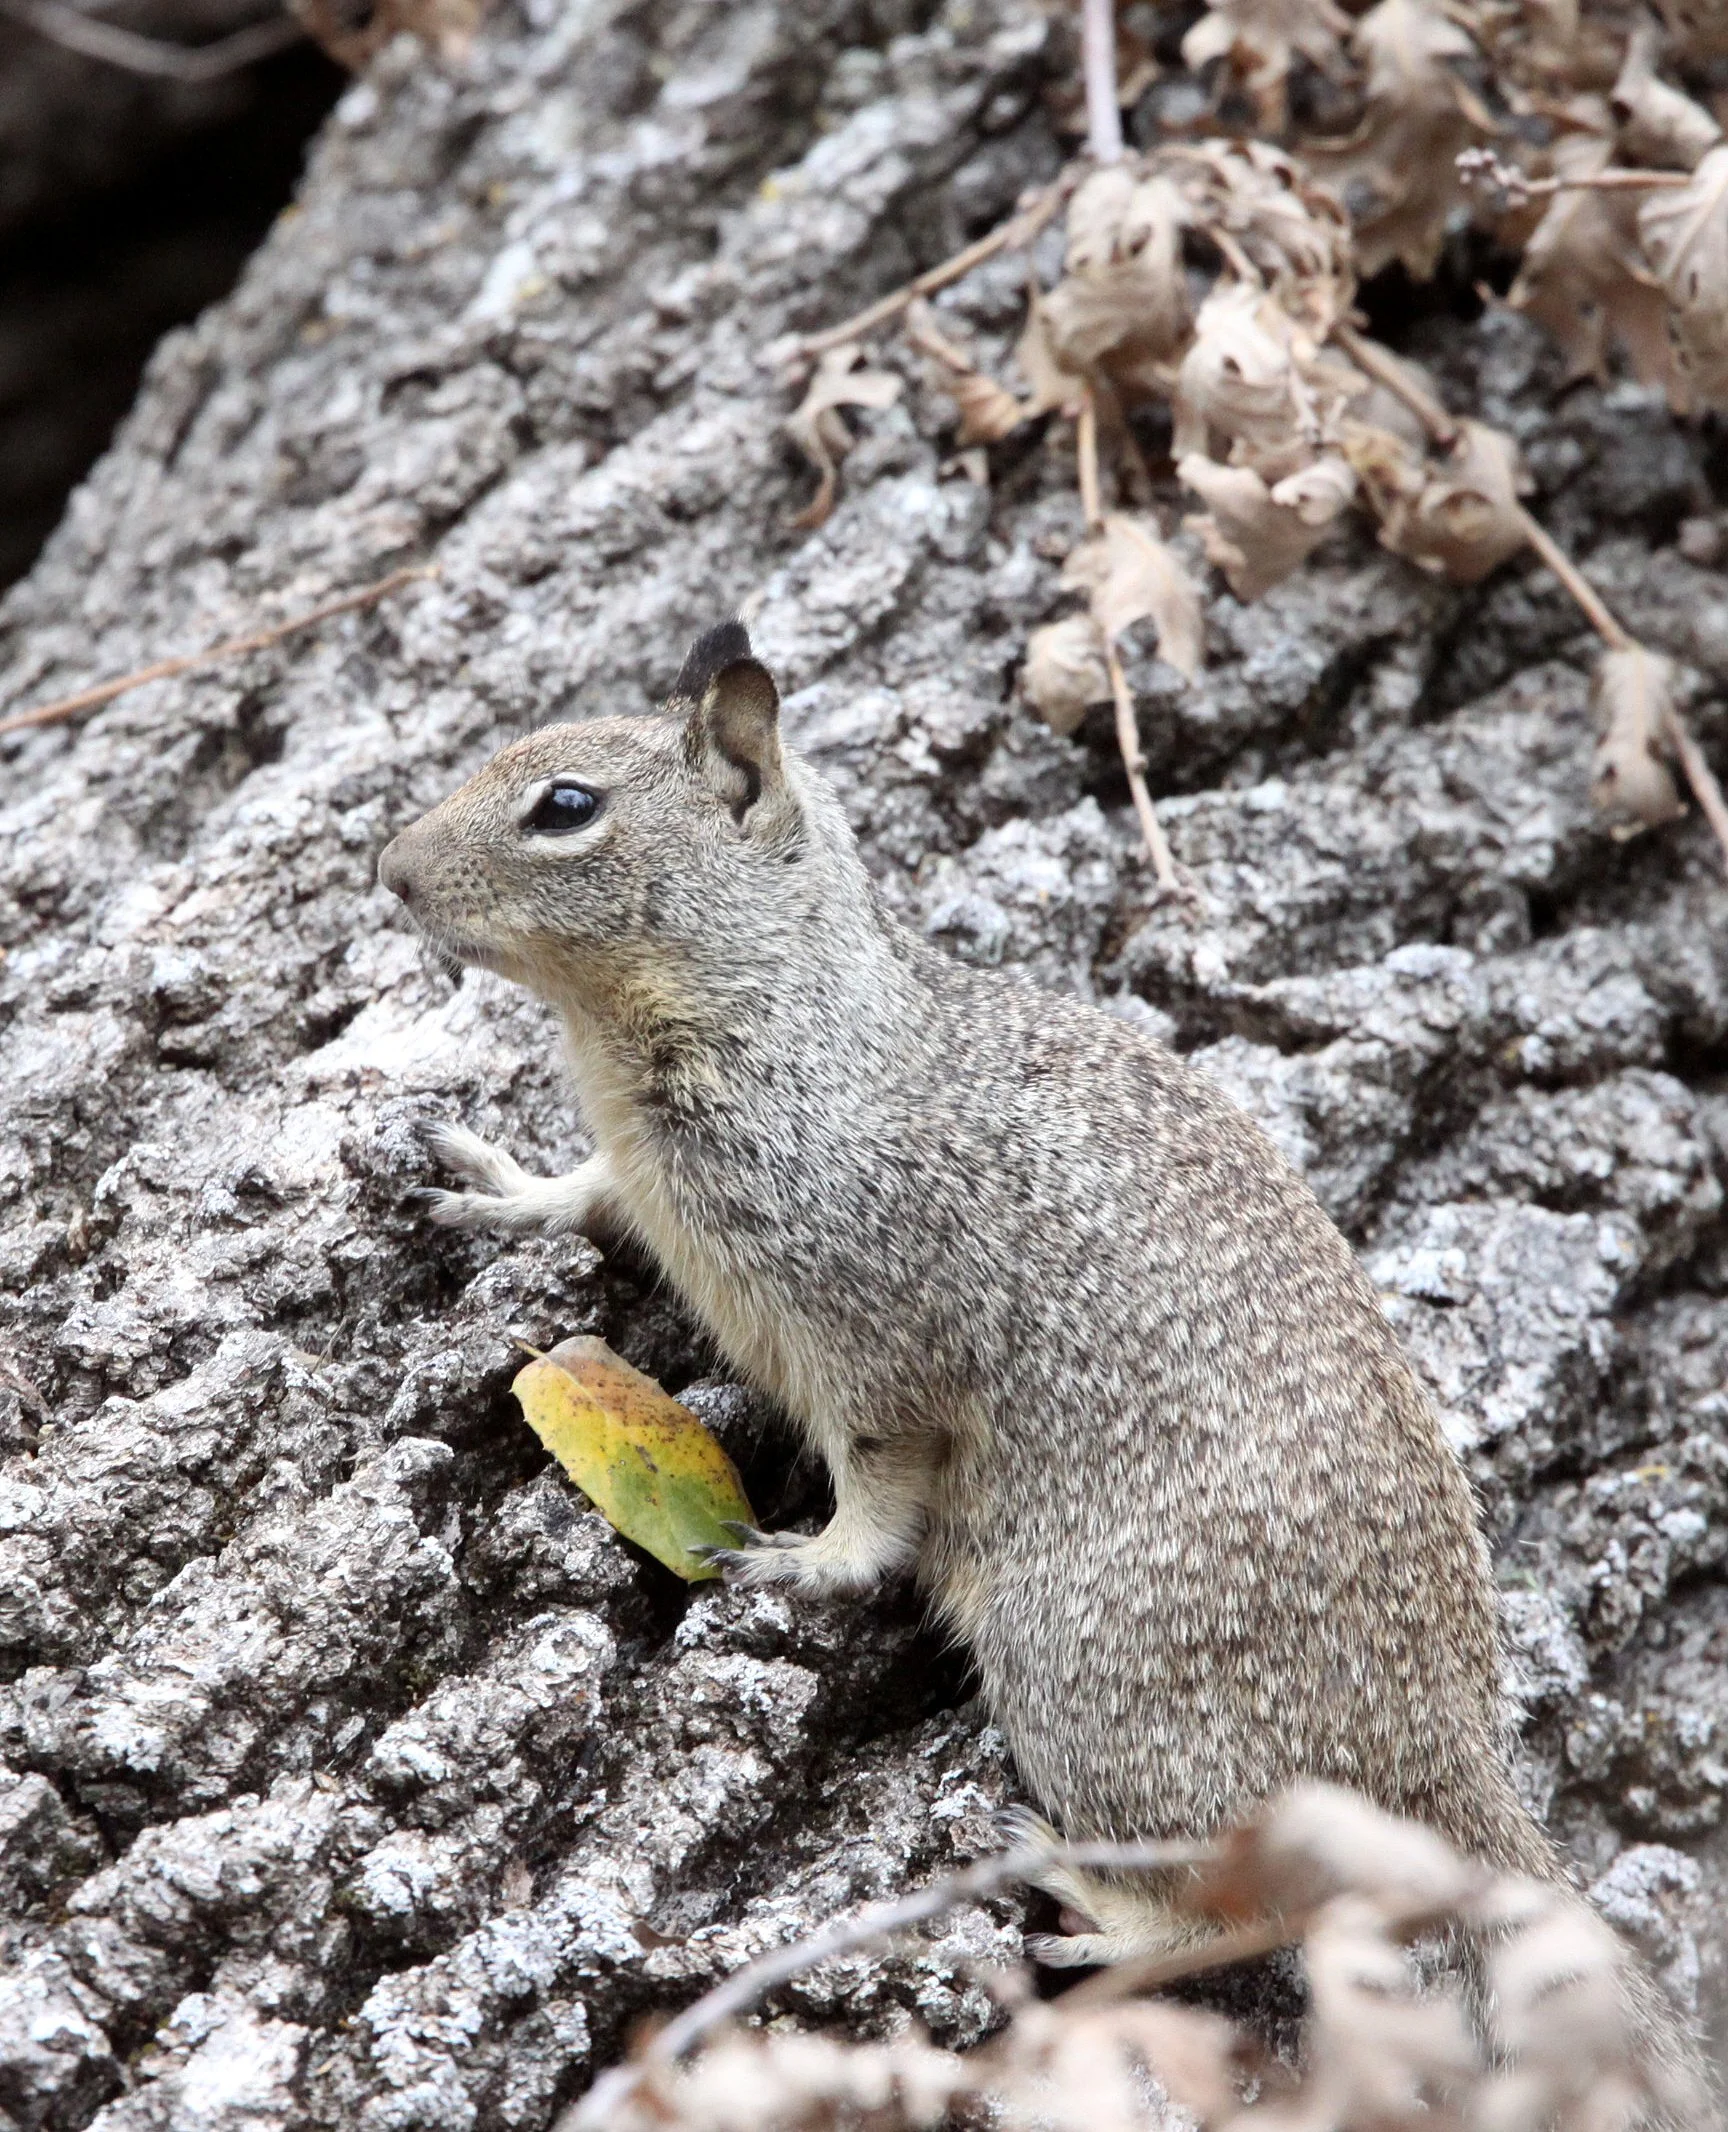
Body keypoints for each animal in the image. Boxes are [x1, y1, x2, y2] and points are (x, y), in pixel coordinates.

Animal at [378, 621, 1716, 2122]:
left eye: (565, 806)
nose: (388, 867)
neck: (764, 1007)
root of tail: (1441, 1764)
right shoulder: (654, 1187)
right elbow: (589, 1194)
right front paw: (503, 1187)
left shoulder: (872, 1330)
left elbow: (880, 1483)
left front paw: (810, 1562)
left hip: (1086, 1684)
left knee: (1252, 1902)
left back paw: (1093, 1903)